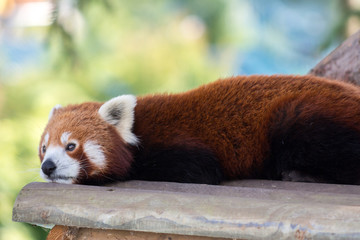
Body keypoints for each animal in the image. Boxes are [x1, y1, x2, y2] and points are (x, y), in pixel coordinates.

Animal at [39, 75, 360, 186]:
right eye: (44, 148)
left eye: (71, 146)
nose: (47, 166)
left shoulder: (180, 144)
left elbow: (200, 171)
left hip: (301, 116)